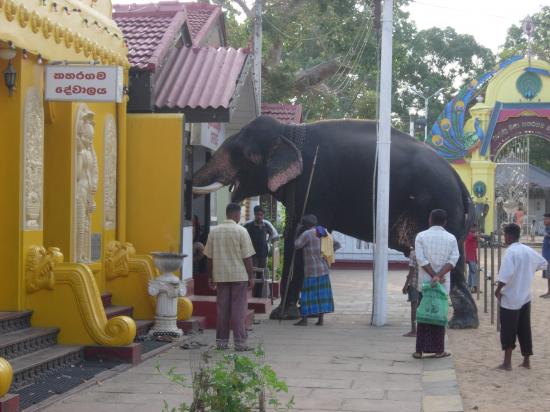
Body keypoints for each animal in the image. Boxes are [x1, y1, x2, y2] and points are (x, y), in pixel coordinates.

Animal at [194, 115, 478, 328]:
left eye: (244, 155)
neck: (290, 132)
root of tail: (459, 180)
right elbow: (295, 230)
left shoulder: (315, 186)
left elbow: (298, 234)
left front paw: (282, 315)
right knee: (457, 261)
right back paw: (459, 322)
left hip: (439, 205)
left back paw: (454, 322)